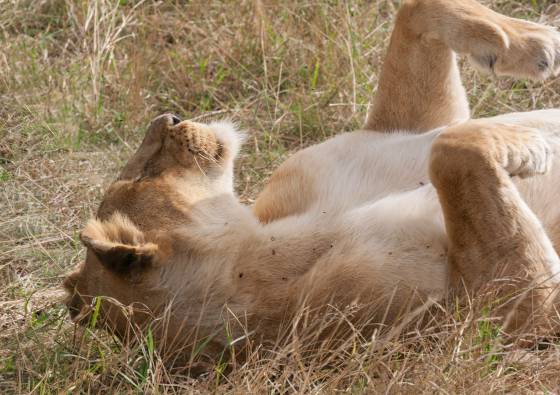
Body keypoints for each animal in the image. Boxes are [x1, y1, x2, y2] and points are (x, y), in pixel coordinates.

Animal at [63, 0, 560, 366]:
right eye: (144, 173)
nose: (169, 116)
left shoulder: (401, 128)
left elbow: (416, 11)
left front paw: (538, 44)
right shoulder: (501, 309)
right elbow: (451, 150)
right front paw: (532, 145)